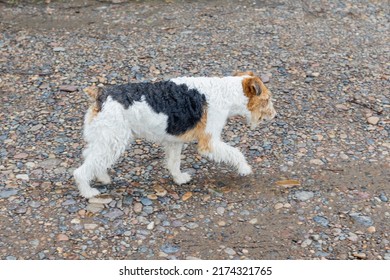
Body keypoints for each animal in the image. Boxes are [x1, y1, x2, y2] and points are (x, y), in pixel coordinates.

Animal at [72, 71, 274, 198]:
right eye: (267, 99)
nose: (275, 115)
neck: (225, 93)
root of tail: (101, 94)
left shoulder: (175, 140)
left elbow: (174, 162)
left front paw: (179, 179)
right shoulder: (209, 142)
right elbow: (236, 153)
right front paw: (245, 168)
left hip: (105, 139)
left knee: (91, 157)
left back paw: (103, 178)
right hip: (113, 139)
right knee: (80, 170)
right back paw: (88, 192)